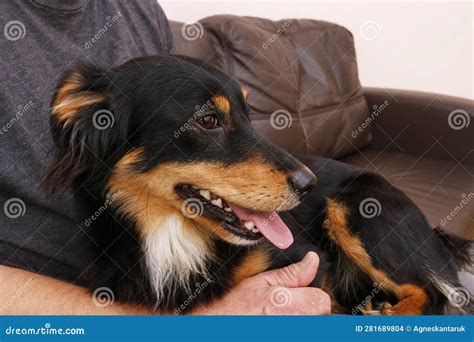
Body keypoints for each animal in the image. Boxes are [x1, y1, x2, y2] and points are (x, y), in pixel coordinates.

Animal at [45, 55, 470, 316]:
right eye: (208, 120)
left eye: (249, 115)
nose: (309, 183)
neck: (173, 234)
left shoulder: (308, 264)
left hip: (358, 205)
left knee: (432, 295)